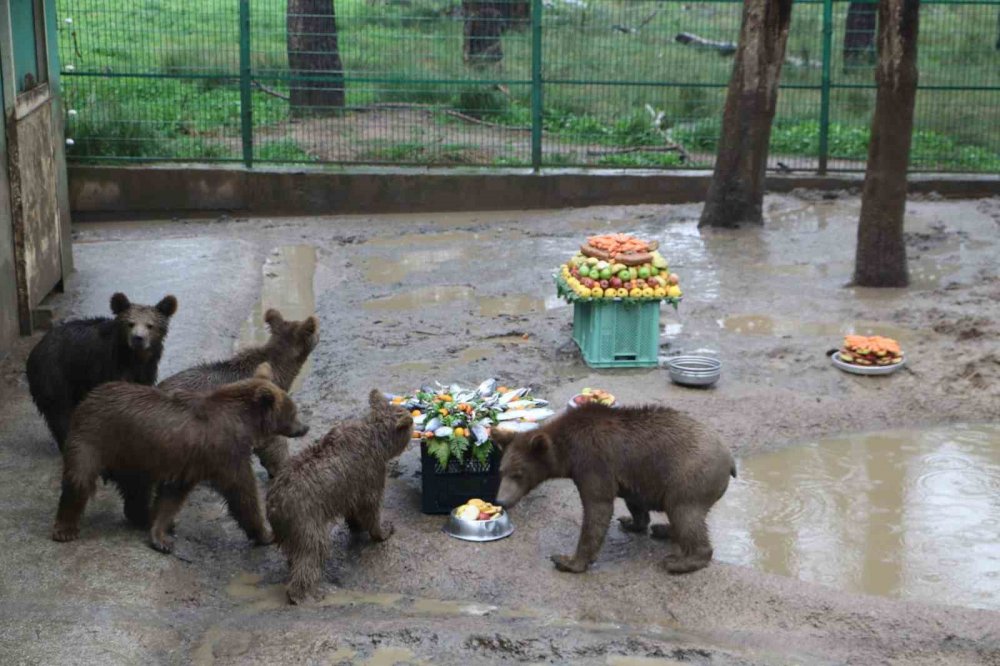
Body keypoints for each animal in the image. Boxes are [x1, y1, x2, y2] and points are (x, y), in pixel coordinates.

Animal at [26, 294, 179, 448]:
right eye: (130, 323)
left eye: (150, 325)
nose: (138, 338)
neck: (134, 357)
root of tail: (36, 349)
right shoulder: (110, 366)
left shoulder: (146, 371)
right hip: (55, 373)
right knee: (59, 410)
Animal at [49, 360, 308, 552]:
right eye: (293, 411)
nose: (305, 427)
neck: (243, 424)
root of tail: (90, 396)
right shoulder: (225, 453)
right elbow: (242, 493)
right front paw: (266, 533)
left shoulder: (191, 462)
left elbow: (172, 496)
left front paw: (161, 534)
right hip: (94, 437)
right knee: (79, 478)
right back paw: (65, 529)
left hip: (132, 457)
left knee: (136, 489)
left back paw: (143, 516)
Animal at [266, 390, 414, 600]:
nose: (413, 423)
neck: (376, 437)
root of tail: (273, 504)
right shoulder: (371, 472)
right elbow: (371, 508)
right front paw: (383, 531)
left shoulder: (350, 486)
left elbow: (353, 508)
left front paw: (356, 525)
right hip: (305, 519)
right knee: (312, 551)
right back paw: (304, 592)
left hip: (290, 528)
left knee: (296, 553)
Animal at [492, 402, 736, 572]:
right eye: (501, 471)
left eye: (518, 474)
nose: (501, 500)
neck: (567, 452)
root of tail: (730, 459)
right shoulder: (632, 475)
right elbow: (634, 501)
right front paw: (630, 521)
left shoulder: (592, 461)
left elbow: (597, 508)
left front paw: (567, 560)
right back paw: (663, 529)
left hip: (689, 478)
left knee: (685, 513)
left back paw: (679, 561)